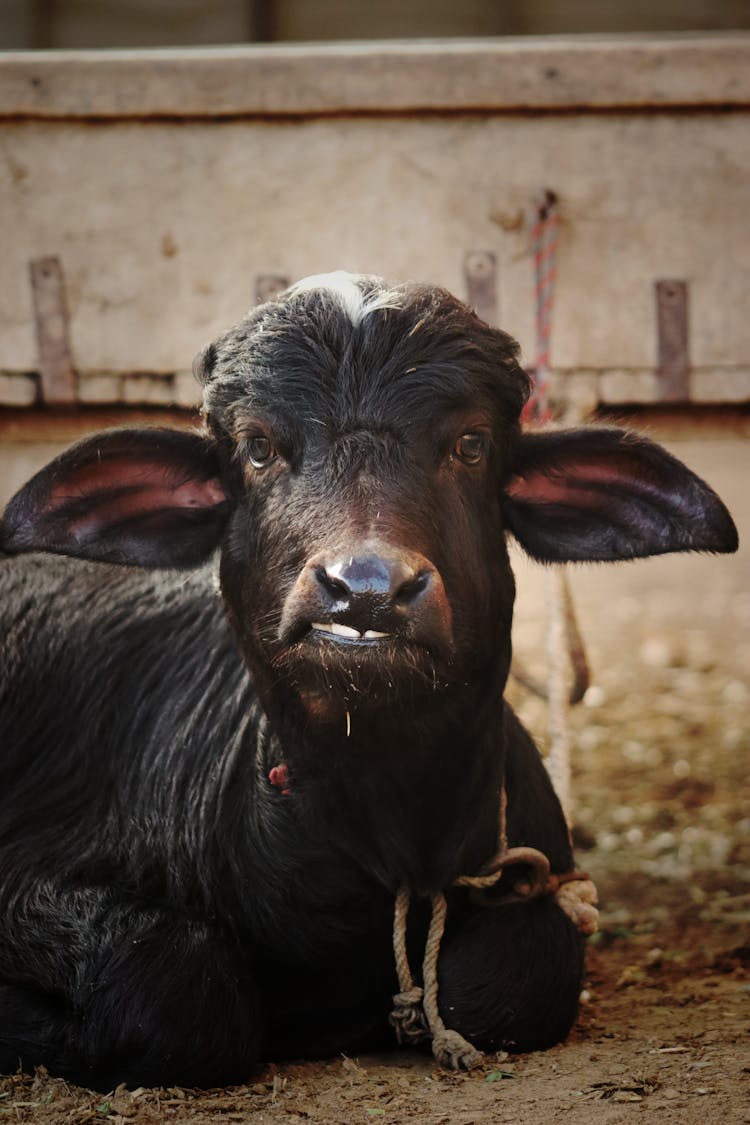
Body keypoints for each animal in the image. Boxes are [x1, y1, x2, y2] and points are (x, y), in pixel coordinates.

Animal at [0, 272, 737, 1089]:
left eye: (470, 444)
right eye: (257, 447)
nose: (367, 591)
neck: (389, 830)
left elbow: (515, 976)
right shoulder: (36, 889)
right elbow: (179, 988)